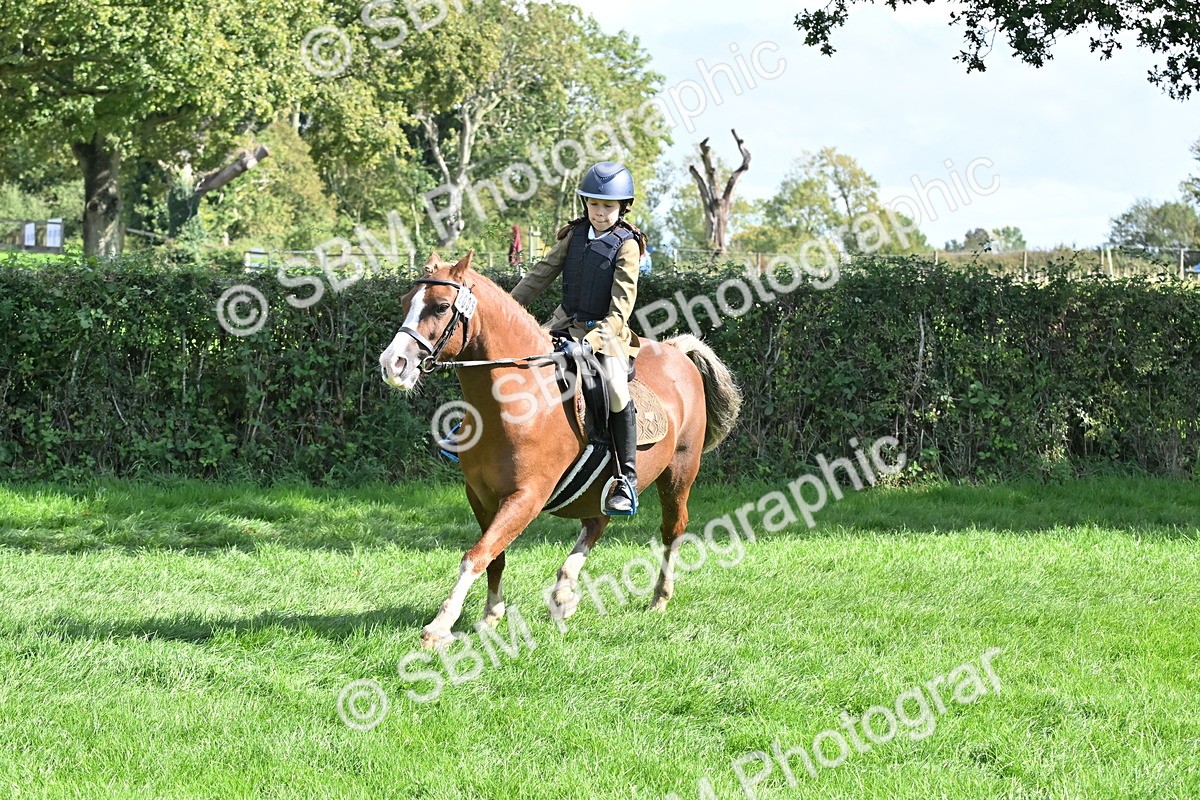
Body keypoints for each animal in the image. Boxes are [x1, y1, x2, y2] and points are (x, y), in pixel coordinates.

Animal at [379, 252, 741, 649]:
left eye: (442, 307)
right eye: (405, 303)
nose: (392, 364)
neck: (516, 398)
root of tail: (677, 353)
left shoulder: (526, 496)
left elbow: (476, 555)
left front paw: (440, 626)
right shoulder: (480, 495)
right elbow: (493, 556)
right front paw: (491, 615)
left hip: (678, 474)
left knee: (672, 530)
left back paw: (659, 597)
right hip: (600, 487)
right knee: (596, 523)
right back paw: (564, 594)